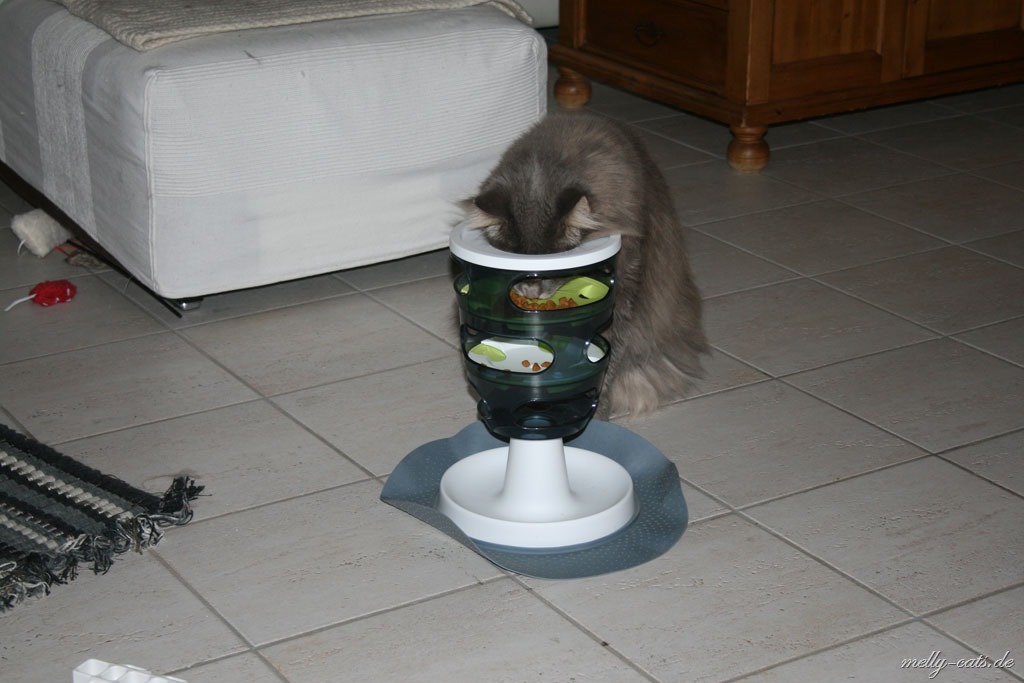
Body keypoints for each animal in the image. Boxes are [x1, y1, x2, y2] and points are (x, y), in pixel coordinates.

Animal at [462, 110, 708, 418]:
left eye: (552, 265)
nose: (531, 292)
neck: (540, 173)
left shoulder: (626, 286)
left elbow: (610, 358)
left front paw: (598, 414)